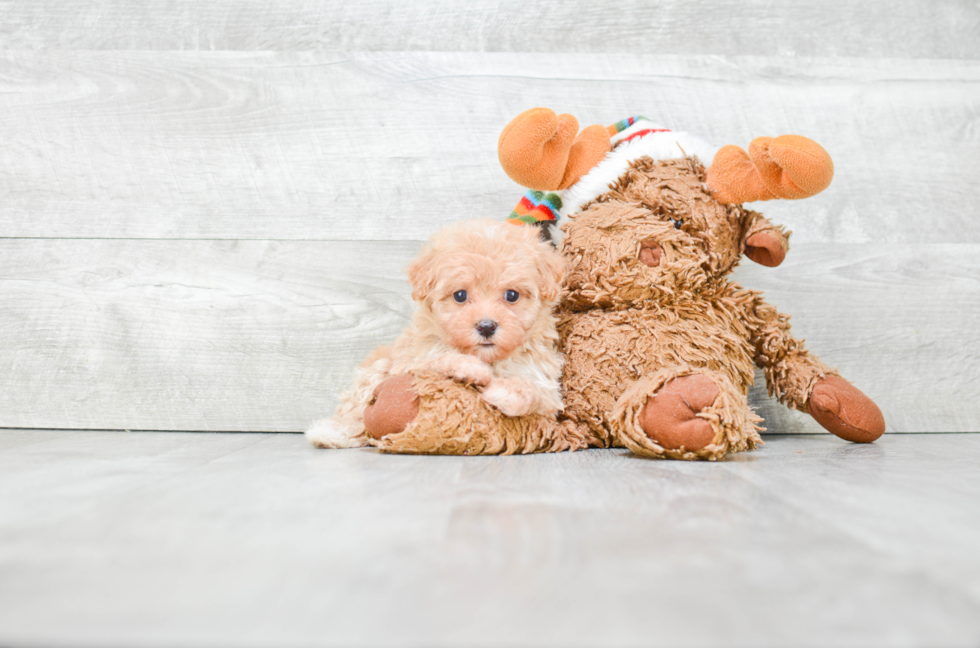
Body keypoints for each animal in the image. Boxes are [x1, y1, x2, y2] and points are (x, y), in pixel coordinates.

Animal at [306, 220, 568, 448]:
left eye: (512, 295)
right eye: (460, 295)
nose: (486, 326)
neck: (489, 358)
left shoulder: (546, 390)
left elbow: (534, 391)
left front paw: (506, 393)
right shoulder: (415, 359)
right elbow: (440, 358)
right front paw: (470, 368)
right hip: (376, 369)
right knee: (355, 409)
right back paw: (333, 433)